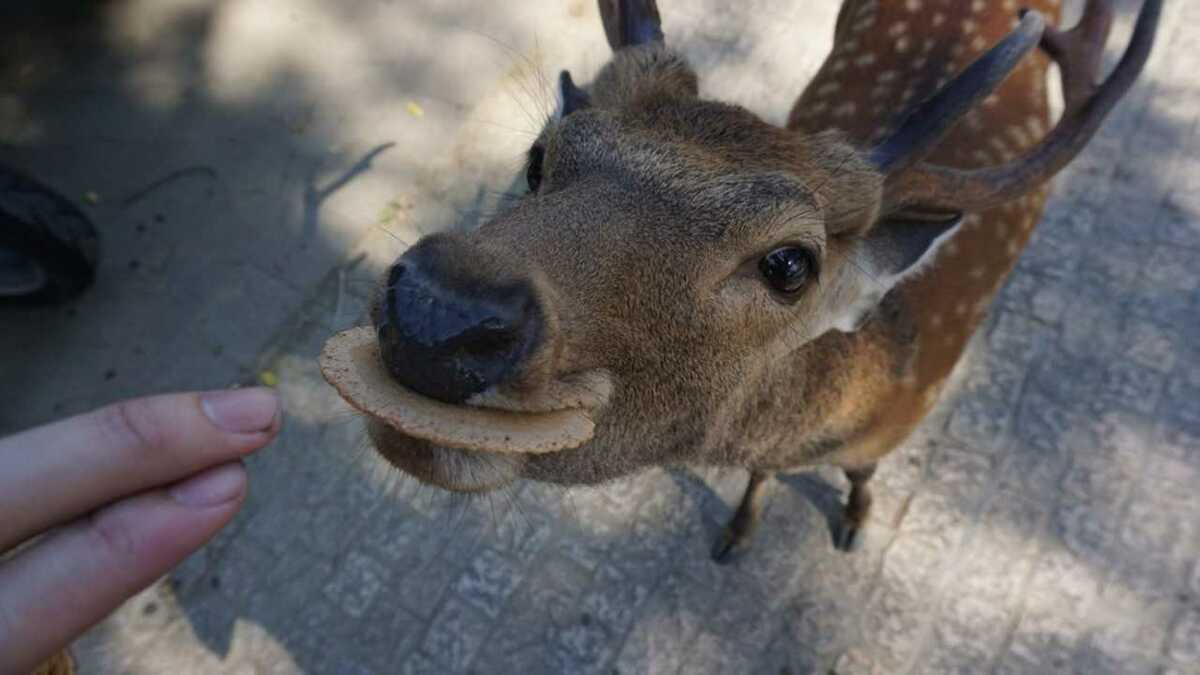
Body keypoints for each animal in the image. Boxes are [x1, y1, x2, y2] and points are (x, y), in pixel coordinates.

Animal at [338, 0, 1161, 559]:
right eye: (539, 156)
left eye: (790, 264)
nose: (438, 308)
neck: (876, 381)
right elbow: (760, 478)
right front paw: (738, 530)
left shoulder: (897, 427)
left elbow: (863, 476)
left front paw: (854, 521)